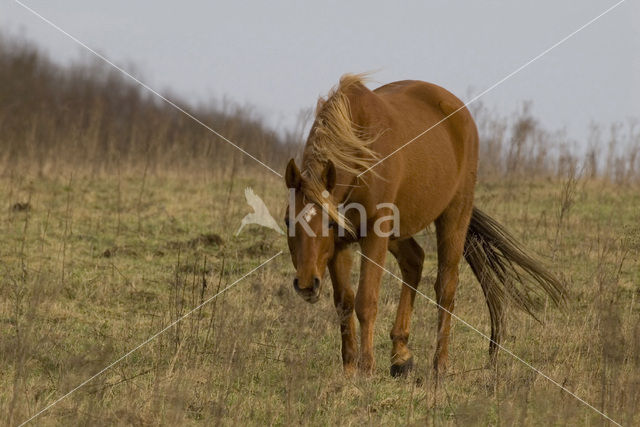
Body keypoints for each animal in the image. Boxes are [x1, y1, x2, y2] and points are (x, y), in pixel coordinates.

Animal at [282, 74, 564, 378]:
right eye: (288, 221)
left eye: (328, 222)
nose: (306, 284)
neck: (360, 154)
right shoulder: (340, 245)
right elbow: (344, 302)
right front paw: (348, 370)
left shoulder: (374, 235)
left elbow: (365, 301)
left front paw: (366, 368)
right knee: (414, 261)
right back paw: (401, 356)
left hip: (454, 217)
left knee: (446, 288)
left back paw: (439, 364)